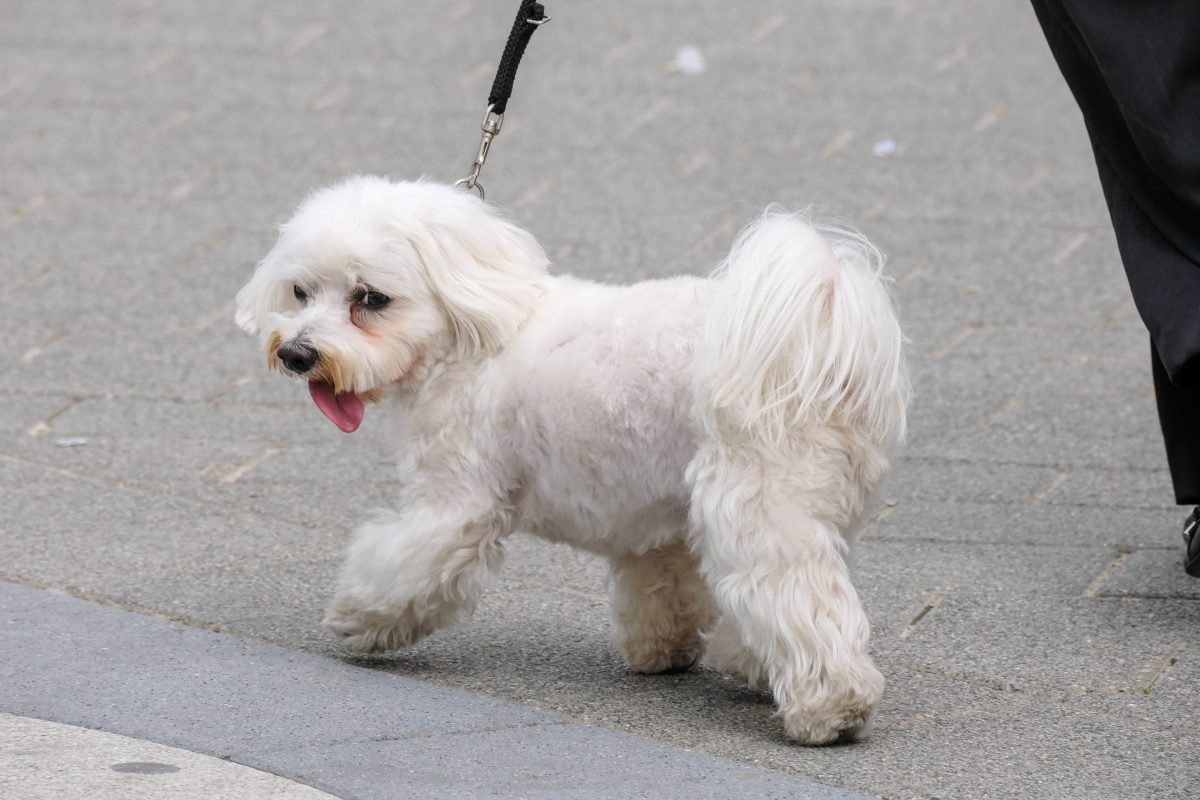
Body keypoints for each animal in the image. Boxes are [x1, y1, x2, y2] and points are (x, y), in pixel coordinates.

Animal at [236, 175, 907, 743]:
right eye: (300, 291)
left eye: (371, 299)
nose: (296, 353)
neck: (467, 338)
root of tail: (822, 335)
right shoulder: (655, 510)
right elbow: (662, 584)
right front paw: (662, 650)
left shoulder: (456, 505)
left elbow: (404, 564)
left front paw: (358, 617)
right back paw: (754, 664)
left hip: (757, 498)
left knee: (796, 595)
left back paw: (831, 709)